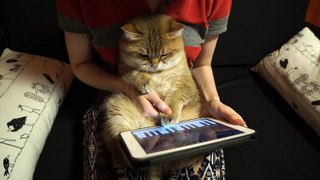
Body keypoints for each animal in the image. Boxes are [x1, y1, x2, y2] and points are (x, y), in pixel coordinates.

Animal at [102, 13, 201, 179]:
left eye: (164, 54)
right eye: (144, 55)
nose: (154, 65)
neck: (158, 74)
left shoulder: (187, 85)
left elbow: (175, 97)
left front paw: (169, 114)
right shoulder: (123, 71)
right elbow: (134, 73)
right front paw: (144, 82)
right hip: (116, 116)